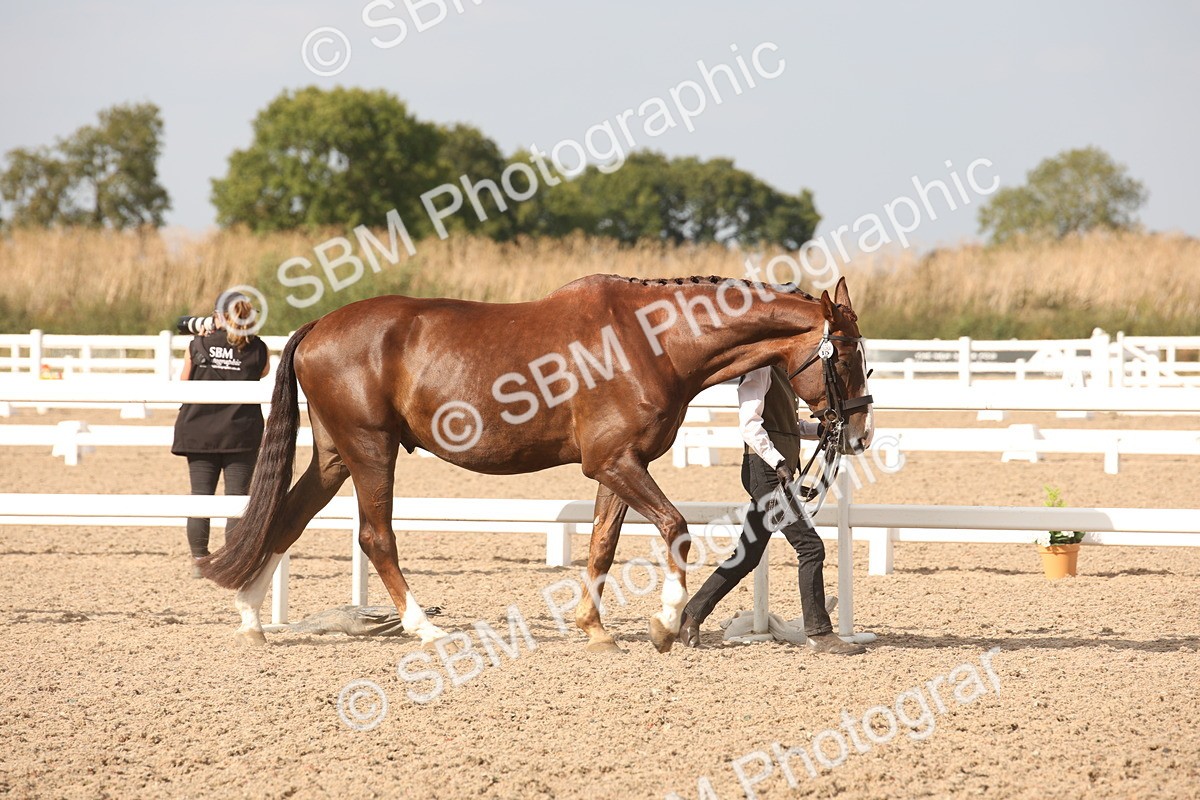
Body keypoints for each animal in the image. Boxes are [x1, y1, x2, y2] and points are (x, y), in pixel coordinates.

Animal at [199, 274, 874, 653]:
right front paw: (663, 624)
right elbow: (675, 529)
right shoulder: (614, 462)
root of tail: (318, 326)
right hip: (370, 450)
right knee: (375, 536)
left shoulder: (616, 466)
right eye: (845, 355)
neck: (648, 340)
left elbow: (602, 544)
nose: (859, 433)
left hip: (336, 455)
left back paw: (251, 621)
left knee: (286, 521)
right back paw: (424, 628)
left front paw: (595, 630)